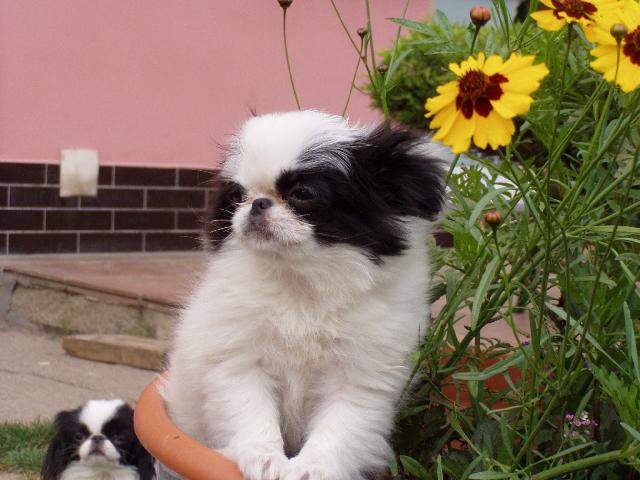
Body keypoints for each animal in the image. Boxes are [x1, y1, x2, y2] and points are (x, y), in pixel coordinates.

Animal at [165, 110, 445, 480]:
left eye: (303, 193)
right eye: (238, 195)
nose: (257, 203)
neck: (301, 281)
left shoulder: (358, 377)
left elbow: (339, 428)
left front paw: (312, 468)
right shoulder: (240, 362)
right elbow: (252, 413)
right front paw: (265, 459)